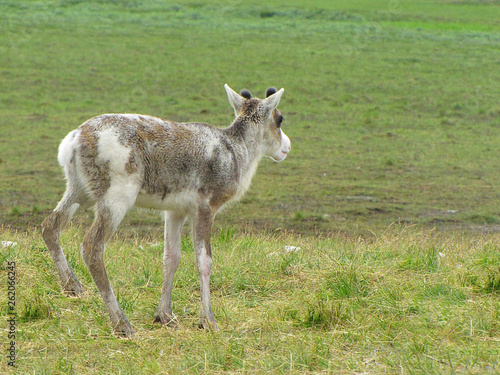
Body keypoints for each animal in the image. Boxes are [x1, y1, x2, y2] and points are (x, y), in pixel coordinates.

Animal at [41, 86, 292, 338]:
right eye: (279, 118)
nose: (287, 147)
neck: (235, 150)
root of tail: (75, 139)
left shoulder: (175, 212)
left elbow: (171, 257)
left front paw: (165, 316)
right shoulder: (205, 208)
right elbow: (205, 260)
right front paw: (208, 321)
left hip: (79, 192)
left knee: (50, 225)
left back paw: (74, 286)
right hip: (115, 201)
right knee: (92, 247)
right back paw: (123, 324)